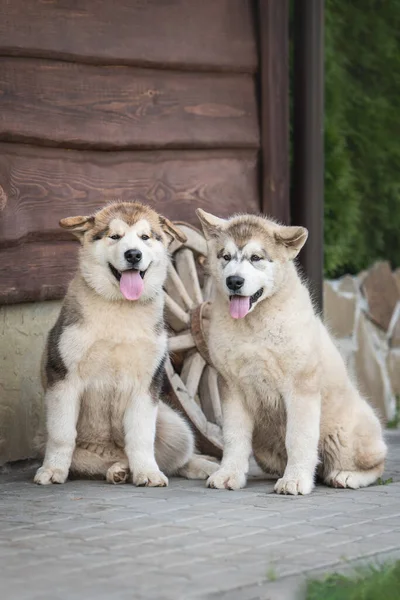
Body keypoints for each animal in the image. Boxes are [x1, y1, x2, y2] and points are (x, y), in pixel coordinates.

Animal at [34, 202, 219, 488]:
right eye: (115, 236)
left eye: (145, 237)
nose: (133, 254)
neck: (121, 309)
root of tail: (113, 452)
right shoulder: (64, 378)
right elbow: (62, 434)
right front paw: (52, 470)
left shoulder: (146, 384)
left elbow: (141, 436)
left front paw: (148, 473)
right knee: (92, 462)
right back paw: (117, 470)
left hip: (177, 425)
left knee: (177, 460)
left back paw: (203, 467)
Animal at [197, 211, 388, 496]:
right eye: (226, 257)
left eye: (256, 258)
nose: (234, 281)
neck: (253, 327)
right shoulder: (231, 387)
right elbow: (233, 436)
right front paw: (229, 474)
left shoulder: (300, 388)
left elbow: (298, 437)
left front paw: (295, 480)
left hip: (345, 436)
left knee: (376, 463)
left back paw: (346, 476)